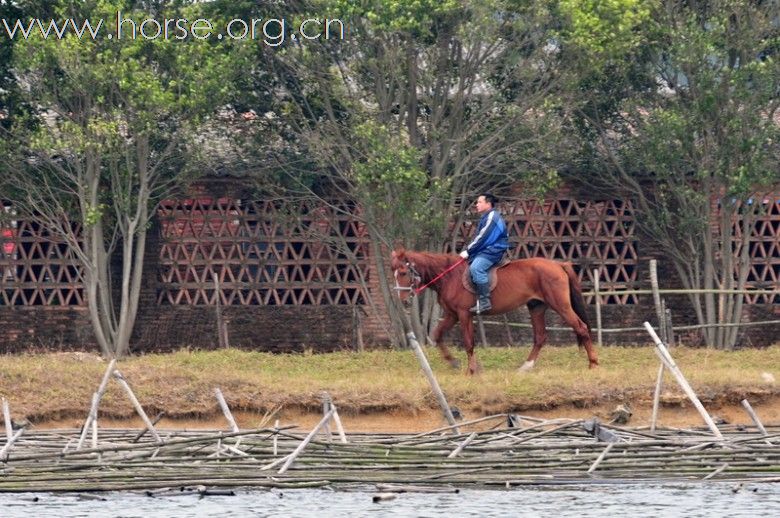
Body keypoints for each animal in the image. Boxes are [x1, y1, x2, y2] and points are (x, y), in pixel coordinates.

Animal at [390, 249, 596, 376]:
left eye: (403, 272)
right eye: (394, 273)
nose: (404, 301)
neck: (449, 276)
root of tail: (558, 264)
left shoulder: (464, 314)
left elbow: (469, 343)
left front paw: (471, 371)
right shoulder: (452, 315)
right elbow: (437, 335)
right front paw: (454, 362)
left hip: (560, 305)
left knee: (581, 327)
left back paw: (593, 363)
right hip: (536, 307)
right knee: (540, 337)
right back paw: (526, 367)